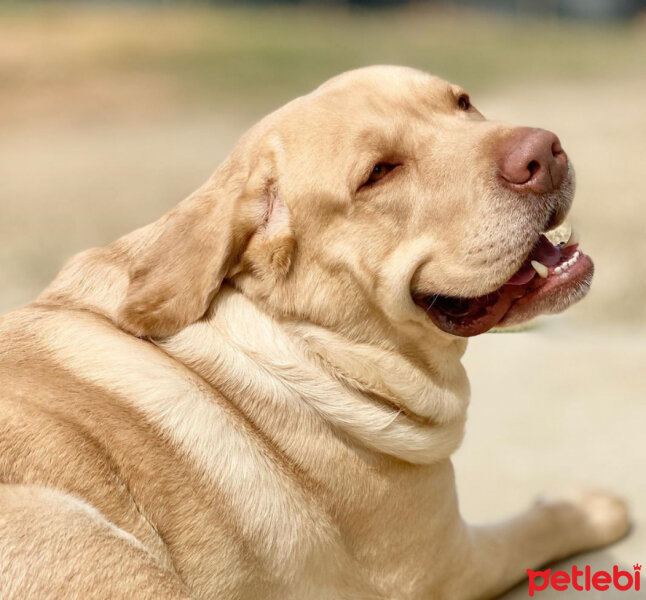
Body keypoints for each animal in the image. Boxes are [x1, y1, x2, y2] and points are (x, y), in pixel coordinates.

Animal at [0, 68, 632, 596]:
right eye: (379, 173)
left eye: (462, 101)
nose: (545, 152)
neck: (305, 342)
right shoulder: (449, 565)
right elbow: (543, 522)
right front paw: (592, 503)